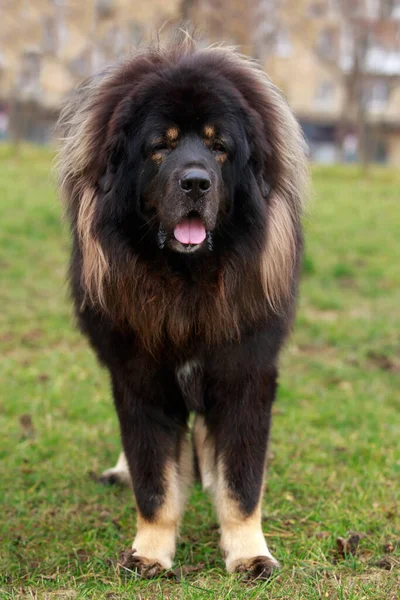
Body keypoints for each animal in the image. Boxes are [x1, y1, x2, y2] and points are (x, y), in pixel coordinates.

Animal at [56, 37, 308, 580]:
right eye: (161, 145)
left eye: (219, 147)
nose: (195, 182)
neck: (186, 286)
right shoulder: (140, 380)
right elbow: (154, 482)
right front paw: (150, 553)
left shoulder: (244, 375)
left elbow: (242, 481)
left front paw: (249, 552)